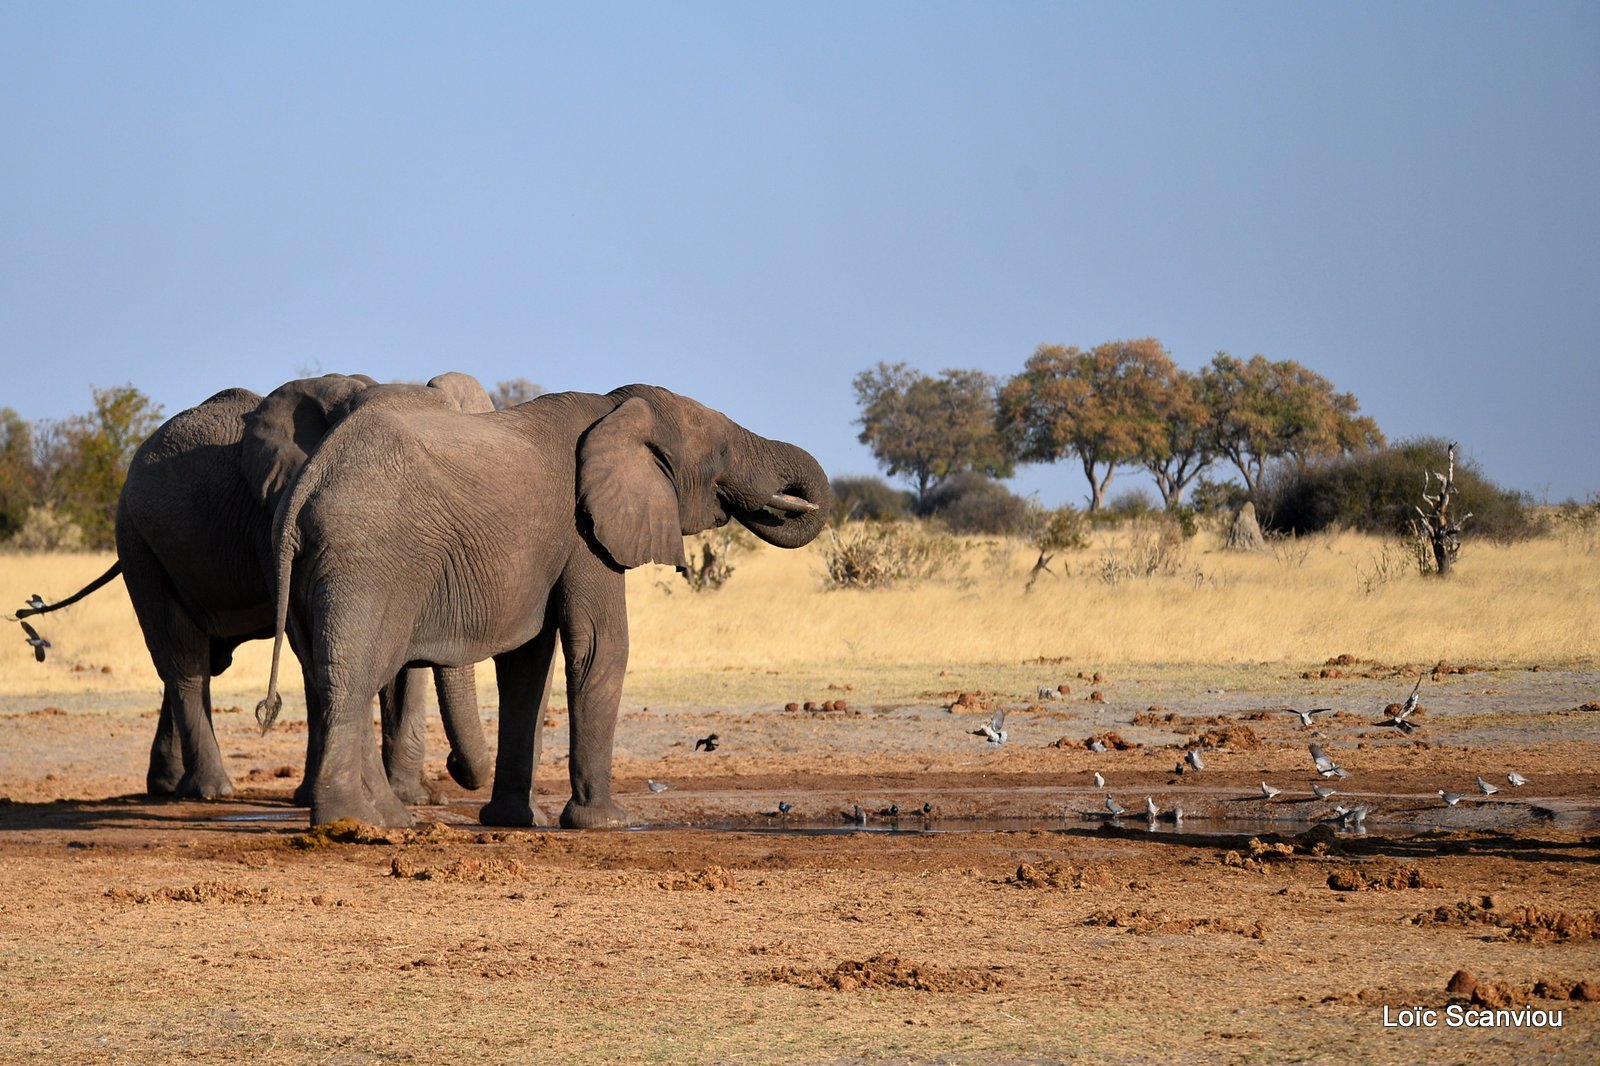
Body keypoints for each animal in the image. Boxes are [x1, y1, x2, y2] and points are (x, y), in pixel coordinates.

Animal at [17, 371, 492, 797]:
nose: (453, 764)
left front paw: (414, 799)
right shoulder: (275, 517)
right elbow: (311, 638)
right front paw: (315, 797)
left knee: (200, 659)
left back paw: (168, 787)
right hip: (137, 539)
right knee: (183, 658)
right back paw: (212, 791)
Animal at [256, 377, 832, 825]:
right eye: (721, 452)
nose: (453, 767)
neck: (617, 406)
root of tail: (306, 484)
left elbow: (527, 665)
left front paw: (515, 821)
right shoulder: (586, 531)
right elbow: (600, 646)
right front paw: (607, 823)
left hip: (312, 570)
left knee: (331, 679)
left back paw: (387, 820)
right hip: (368, 562)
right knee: (353, 678)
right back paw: (354, 823)